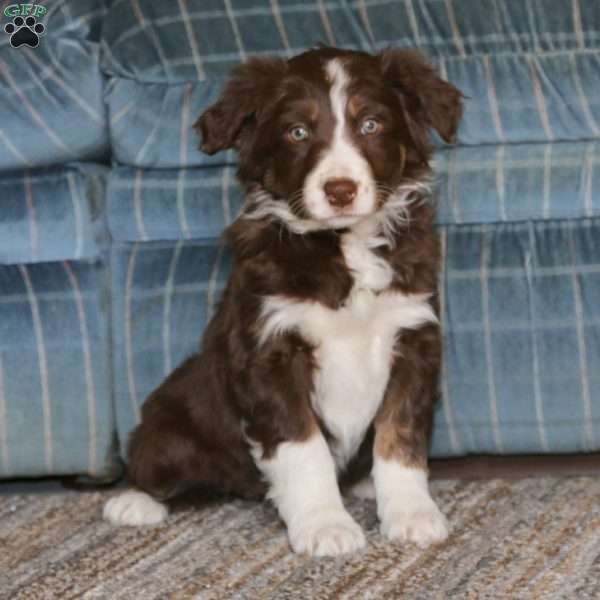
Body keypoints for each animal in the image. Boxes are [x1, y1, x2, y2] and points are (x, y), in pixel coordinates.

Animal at [104, 47, 464, 556]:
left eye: (371, 124)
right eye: (298, 132)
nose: (340, 190)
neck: (341, 246)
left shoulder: (412, 336)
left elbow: (401, 438)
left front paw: (411, 513)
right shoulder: (269, 353)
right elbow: (303, 448)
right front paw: (324, 525)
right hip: (172, 416)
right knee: (154, 463)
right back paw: (134, 502)